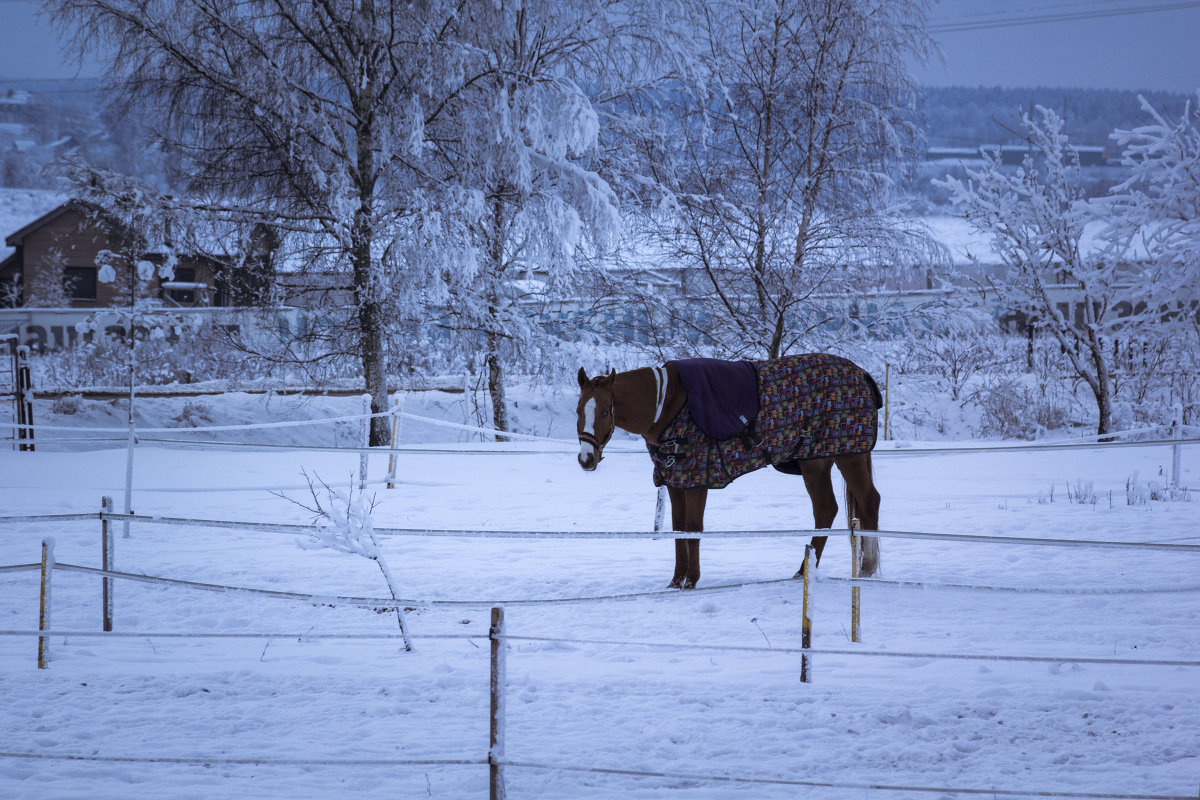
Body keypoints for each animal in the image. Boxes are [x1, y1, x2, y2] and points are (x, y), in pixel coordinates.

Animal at [576, 355, 888, 587]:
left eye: (604, 412)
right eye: (579, 410)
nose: (586, 459)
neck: (667, 404)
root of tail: (861, 373)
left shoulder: (697, 479)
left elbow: (693, 527)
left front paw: (691, 580)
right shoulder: (676, 480)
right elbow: (678, 528)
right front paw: (676, 581)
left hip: (849, 454)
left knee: (868, 500)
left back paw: (867, 568)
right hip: (815, 461)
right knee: (826, 509)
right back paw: (803, 571)